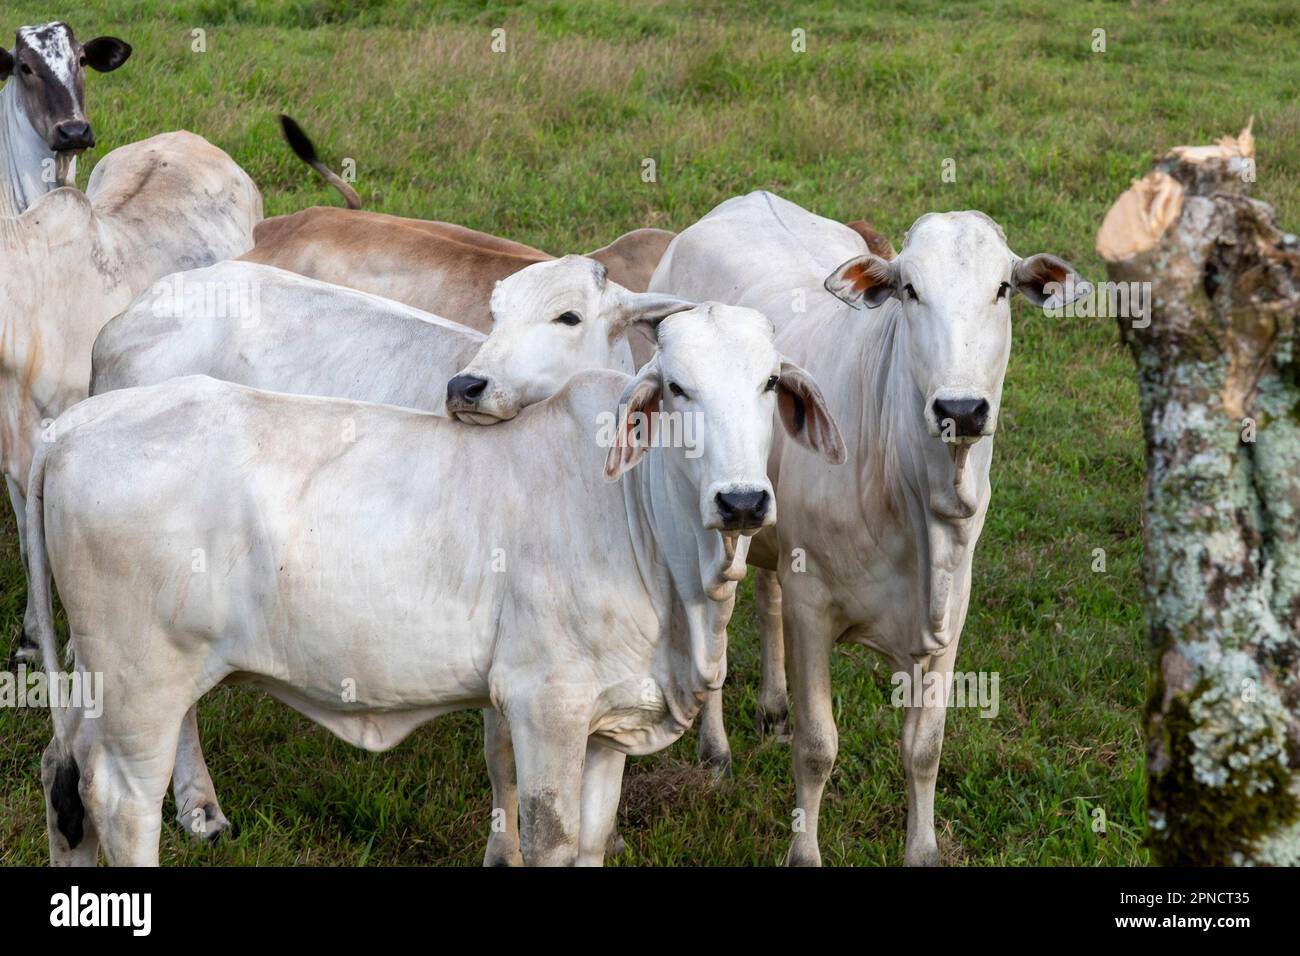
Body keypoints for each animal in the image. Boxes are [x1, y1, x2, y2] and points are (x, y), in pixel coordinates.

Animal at [32, 304, 842, 868]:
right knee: (121, 804)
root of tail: (74, 426)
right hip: (140, 686)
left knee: (63, 783)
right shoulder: (545, 705)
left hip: (102, 690)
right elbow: (548, 838)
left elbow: (591, 839)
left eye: (769, 381)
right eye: (677, 387)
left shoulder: (609, 721)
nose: (742, 501)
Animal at [647, 188, 1086, 868]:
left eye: (1003, 289)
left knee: (766, 596)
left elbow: (924, 749)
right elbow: (817, 747)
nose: (961, 409)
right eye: (910, 289)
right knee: (716, 619)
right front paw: (803, 853)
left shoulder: (950, 614)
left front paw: (923, 852)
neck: (920, 501)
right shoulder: (814, 608)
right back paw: (716, 751)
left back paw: (772, 709)